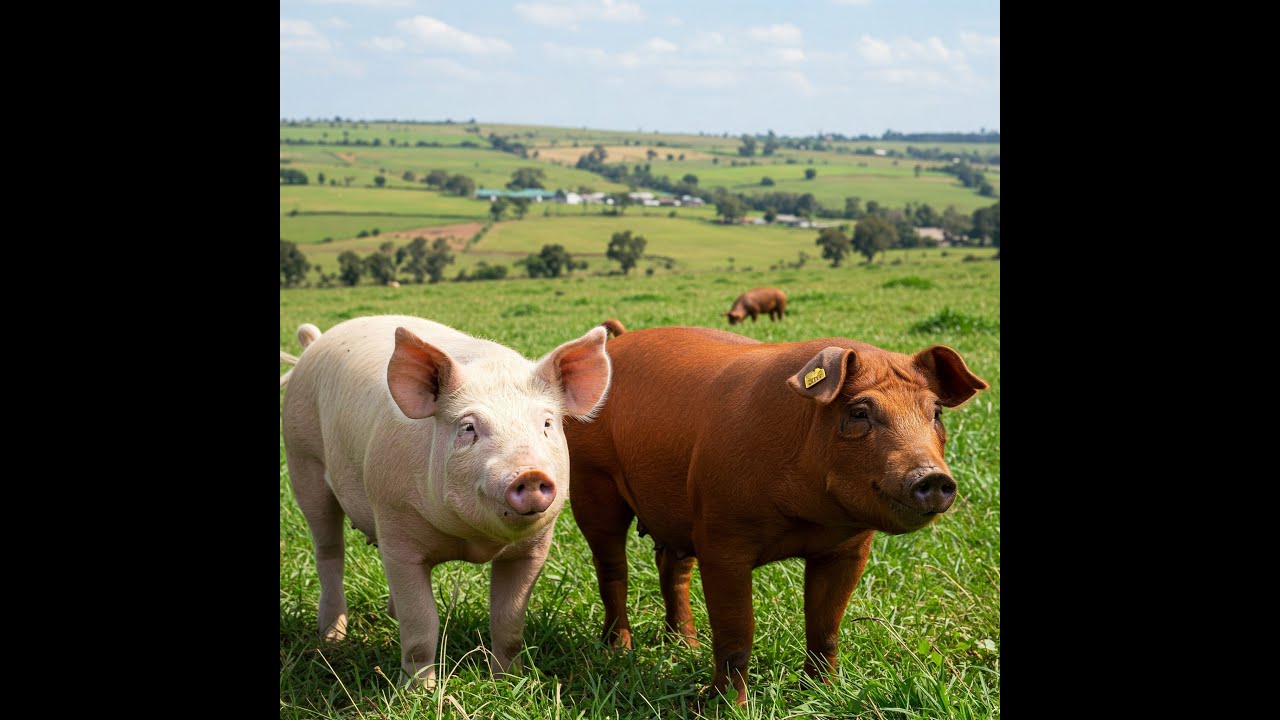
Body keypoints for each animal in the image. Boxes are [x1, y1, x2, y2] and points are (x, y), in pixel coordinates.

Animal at [279, 315, 612, 688]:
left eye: (547, 423)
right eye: (468, 428)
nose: (529, 473)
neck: (473, 542)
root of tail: (314, 342)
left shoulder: (534, 548)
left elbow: (509, 622)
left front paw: (507, 682)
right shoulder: (397, 527)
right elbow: (421, 625)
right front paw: (418, 692)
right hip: (302, 460)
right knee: (329, 551)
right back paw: (332, 638)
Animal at [564, 323, 988, 705]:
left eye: (936, 412)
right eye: (859, 413)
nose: (933, 477)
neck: (808, 517)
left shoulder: (849, 547)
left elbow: (825, 626)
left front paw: (823, 694)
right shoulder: (721, 536)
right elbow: (737, 633)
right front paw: (727, 708)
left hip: (676, 509)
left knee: (672, 567)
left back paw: (684, 645)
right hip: (591, 482)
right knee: (612, 569)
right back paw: (619, 650)